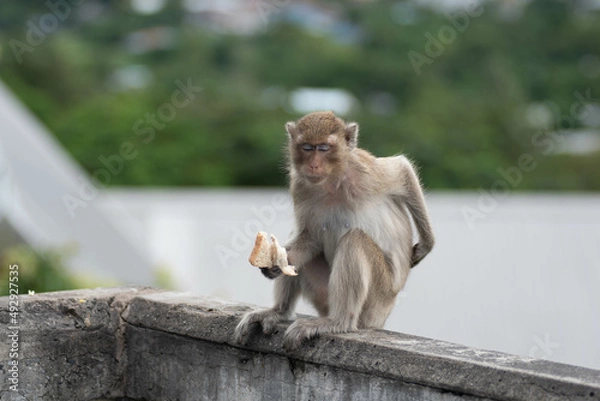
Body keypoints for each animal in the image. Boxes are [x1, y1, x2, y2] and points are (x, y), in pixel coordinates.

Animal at [232, 111, 434, 348]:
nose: (313, 165)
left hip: (377, 300)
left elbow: (403, 170)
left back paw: (338, 322)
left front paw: (427, 244)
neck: (332, 181)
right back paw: (279, 311)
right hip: (324, 295)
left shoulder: (367, 171)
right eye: (307, 147)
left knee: (354, 241)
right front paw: (275, 264)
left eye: (324, 148)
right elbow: (309, 237)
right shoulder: (300, 186)